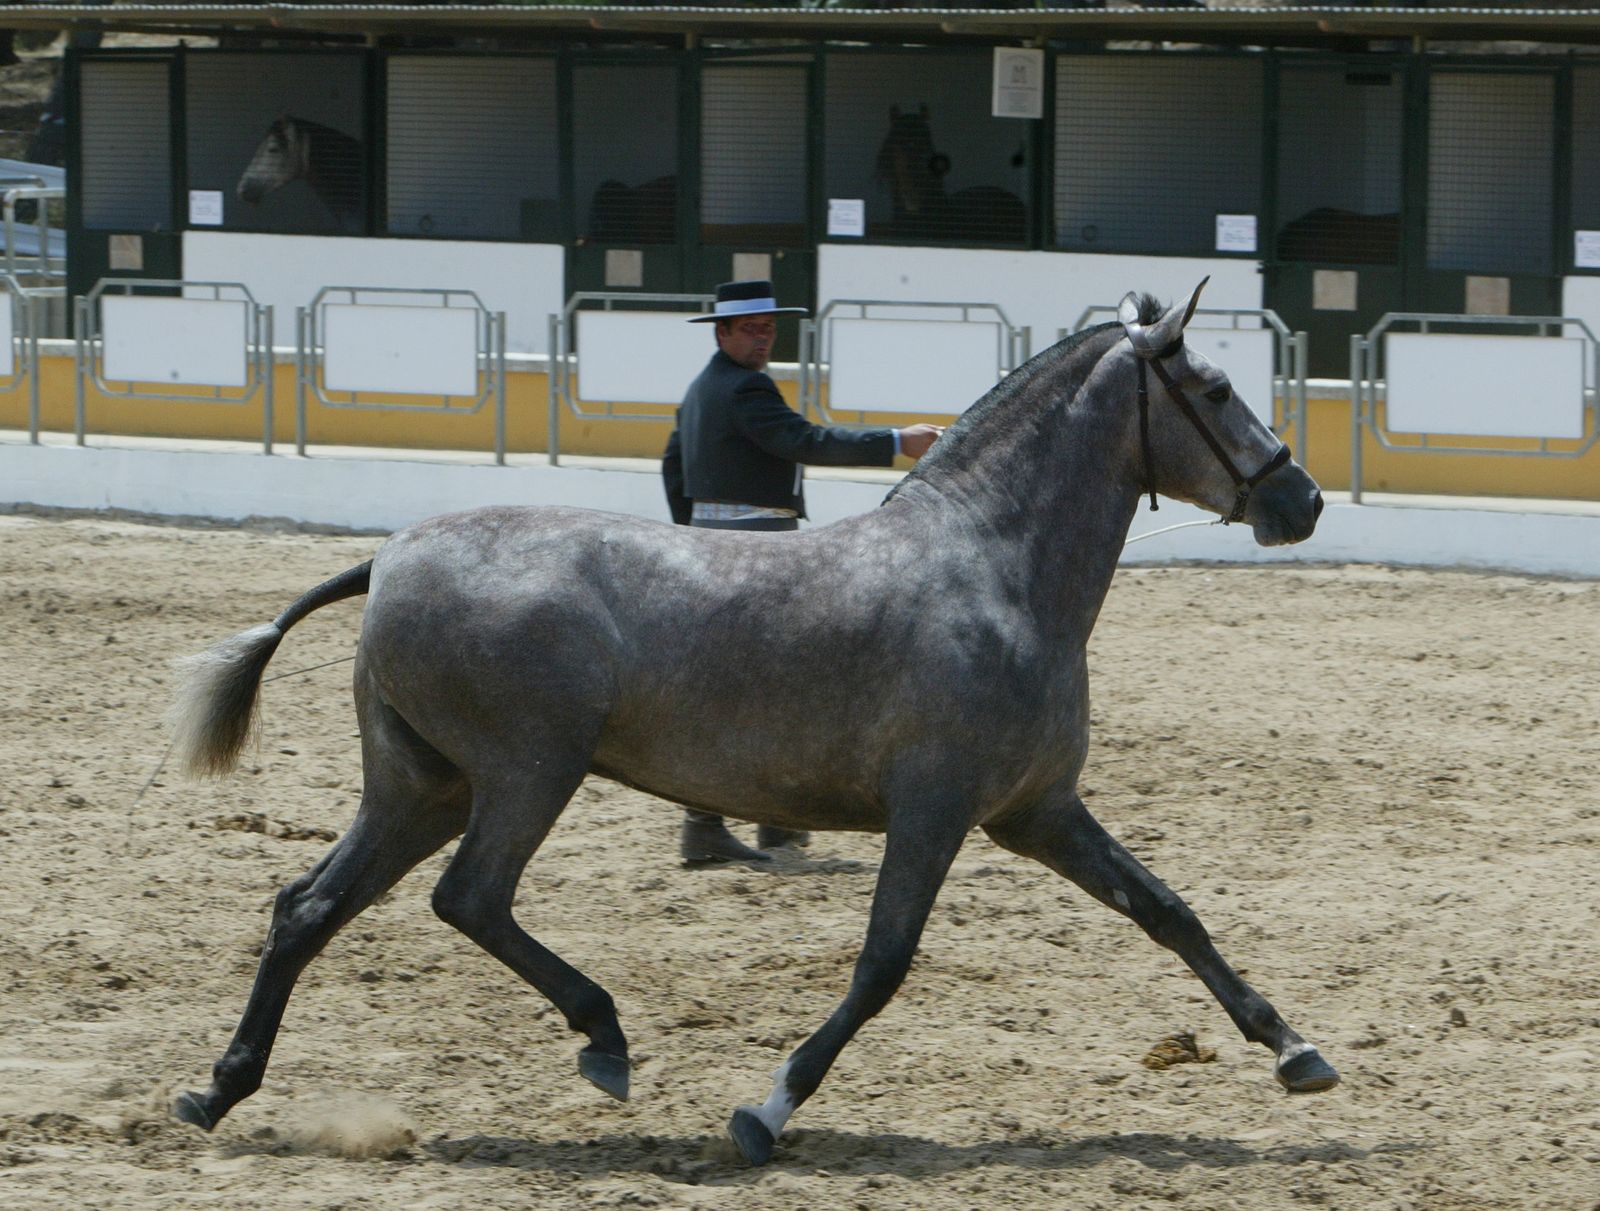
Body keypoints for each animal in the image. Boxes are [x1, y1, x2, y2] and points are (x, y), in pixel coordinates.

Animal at [168, 280, 1336, 1165]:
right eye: (1215, 386)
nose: (1304, 500)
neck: (991, 567)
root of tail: (391, 557)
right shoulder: (937, 807)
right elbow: (882, 963)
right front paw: (762, 1110)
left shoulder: (1037, 810)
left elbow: (1169, 911)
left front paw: (1295, 1051)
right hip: (525, 773)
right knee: (470, 898)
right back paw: (603, 1035)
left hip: (423, 785)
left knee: (308, 906)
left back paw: (216, 1090)